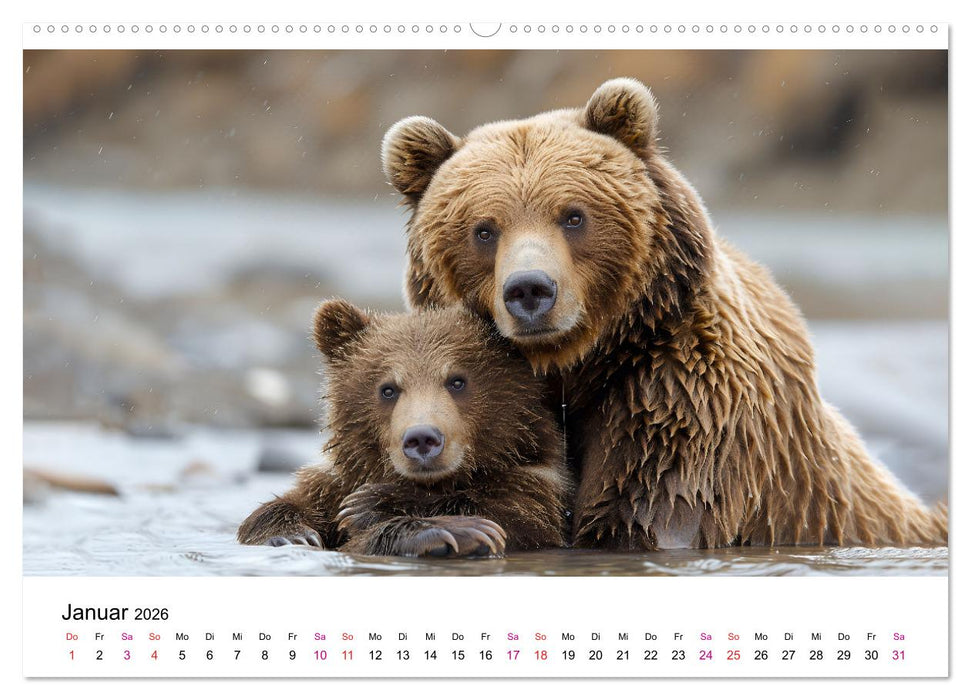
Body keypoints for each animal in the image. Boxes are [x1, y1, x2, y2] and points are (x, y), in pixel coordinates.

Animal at [237, 299, 570, 557]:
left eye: (457, 381)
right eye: (388, 389)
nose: (422, 438)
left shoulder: (531, 495)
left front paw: (372, 506)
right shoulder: (333, 485)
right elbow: (282, 510)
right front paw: (292, 535)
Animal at [380, 77, 948, 550]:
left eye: (573, 216)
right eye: (484, 229)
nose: (530, 290)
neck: (575, 368)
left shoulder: (680, 396)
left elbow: (645, 513)